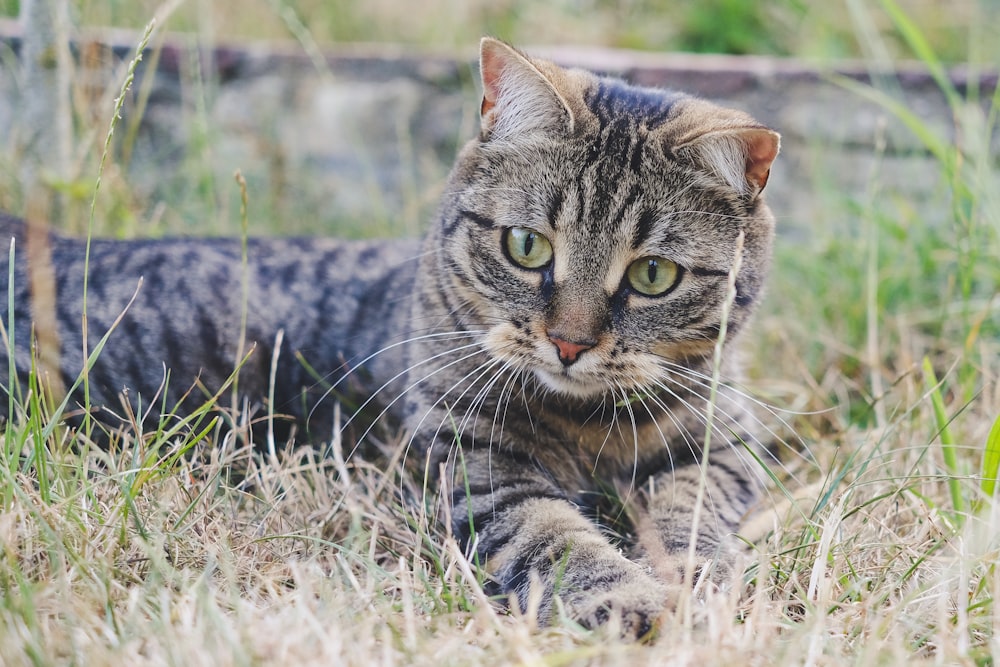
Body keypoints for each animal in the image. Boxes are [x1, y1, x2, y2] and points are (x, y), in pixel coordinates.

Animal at [0, 39, 780, 640]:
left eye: (652, 275)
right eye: (527, 245)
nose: (568, 343)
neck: (589, 424)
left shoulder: (726, 448)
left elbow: (690, 508)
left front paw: (694, 574)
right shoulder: (477, 465)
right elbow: (554, 535)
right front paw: (628, 594)